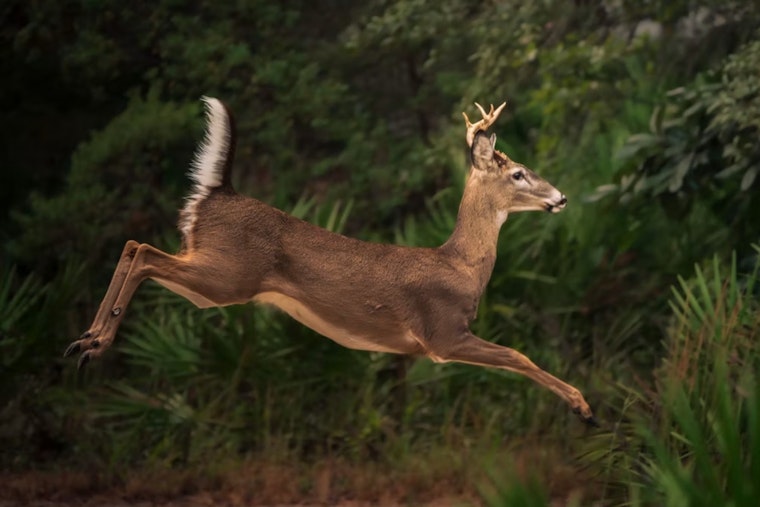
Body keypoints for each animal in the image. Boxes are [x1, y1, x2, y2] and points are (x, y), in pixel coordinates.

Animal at [64, 98, 597, 426]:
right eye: (519, 173)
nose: (562, 197)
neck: (461, 265)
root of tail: (218, 192)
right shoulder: (442, 334)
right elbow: (519, 355)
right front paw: (584, 407)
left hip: (212, 274)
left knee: (133, 246)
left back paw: (84, 341)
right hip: (226, 275)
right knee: (143, 251)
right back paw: (93, 344)